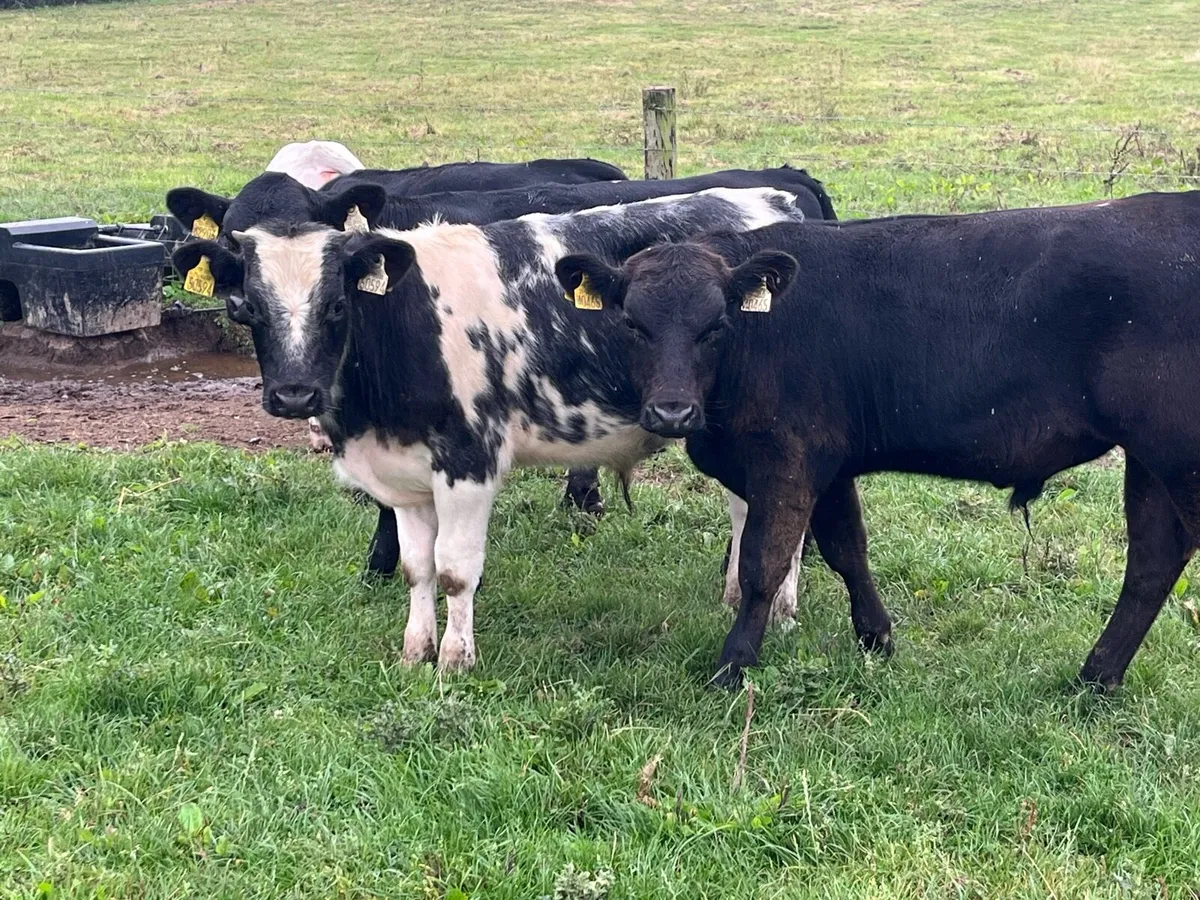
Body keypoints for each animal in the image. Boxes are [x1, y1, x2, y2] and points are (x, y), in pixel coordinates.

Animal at [170, 187, 818, 671]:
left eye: (335, 305)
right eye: (251, 306)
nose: (294, 394)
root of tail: (772, 198)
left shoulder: (469, 461)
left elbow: (456, 571)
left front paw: (455, 660)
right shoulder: (405, 475)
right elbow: (417, 567)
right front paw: (415, 652)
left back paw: (781, 608)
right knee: (746, 507)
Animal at [554, 191, 1200, 691]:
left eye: (716, 325)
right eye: (632, 323)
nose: (671, 411)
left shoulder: (788, 458)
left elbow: (764, 564)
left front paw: (733, 668)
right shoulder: (830, 460)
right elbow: (847, 549)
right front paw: (877, 639)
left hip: (1177, 455)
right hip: (1151, 461)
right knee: (1152, 562)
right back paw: (1096, 679)